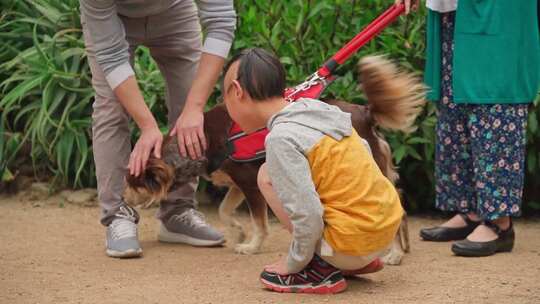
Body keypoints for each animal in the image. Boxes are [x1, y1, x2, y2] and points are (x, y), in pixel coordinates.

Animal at [124, 55, 424, 264]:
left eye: (133, 183)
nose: (123, 200)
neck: (200, 142)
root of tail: (365, 112)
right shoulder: (237, 184)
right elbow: (223, 210)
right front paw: (239, 232)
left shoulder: (250, 184)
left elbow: (260, 223)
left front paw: (252, 246)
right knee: (400, 207)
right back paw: (403, 249)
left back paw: (395, 254)